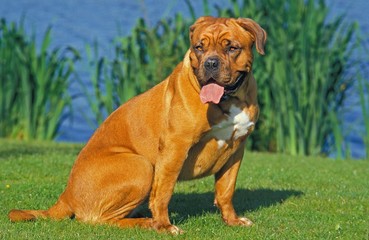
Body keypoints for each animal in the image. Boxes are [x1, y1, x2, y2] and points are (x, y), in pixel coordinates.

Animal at [8, 16, 266, 234]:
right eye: (198, 48)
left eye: (232, 48)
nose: (210, 64)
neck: (228, 100)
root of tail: (66, 195)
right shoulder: (175, 147)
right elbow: (163, 192)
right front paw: (164, 226)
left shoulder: (236, 150)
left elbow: (226, 190)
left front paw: (232, 220)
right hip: (140, 165)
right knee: (99, 219)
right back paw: (146, 222)